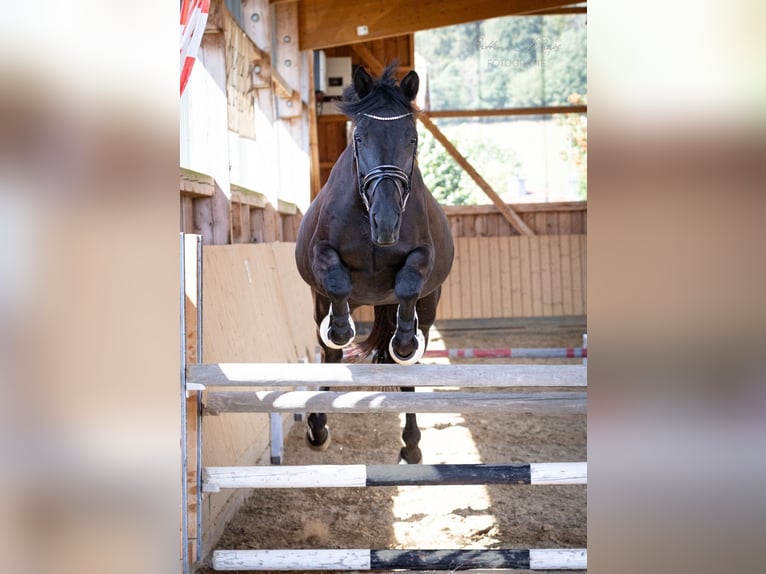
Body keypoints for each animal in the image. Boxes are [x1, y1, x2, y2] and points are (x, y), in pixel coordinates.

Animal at [296, 64, 456, 468]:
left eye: (412, 139)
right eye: (360, 137)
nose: (386, 223)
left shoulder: (422, 259)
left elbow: (408, 285)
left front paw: (402, 341)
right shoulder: (321, 255)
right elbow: (337, 288)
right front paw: (340, 329)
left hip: (428, 307)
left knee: (410, 363)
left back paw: (411, 445)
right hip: (324, 303)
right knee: (330, 354)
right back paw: (318, 428)